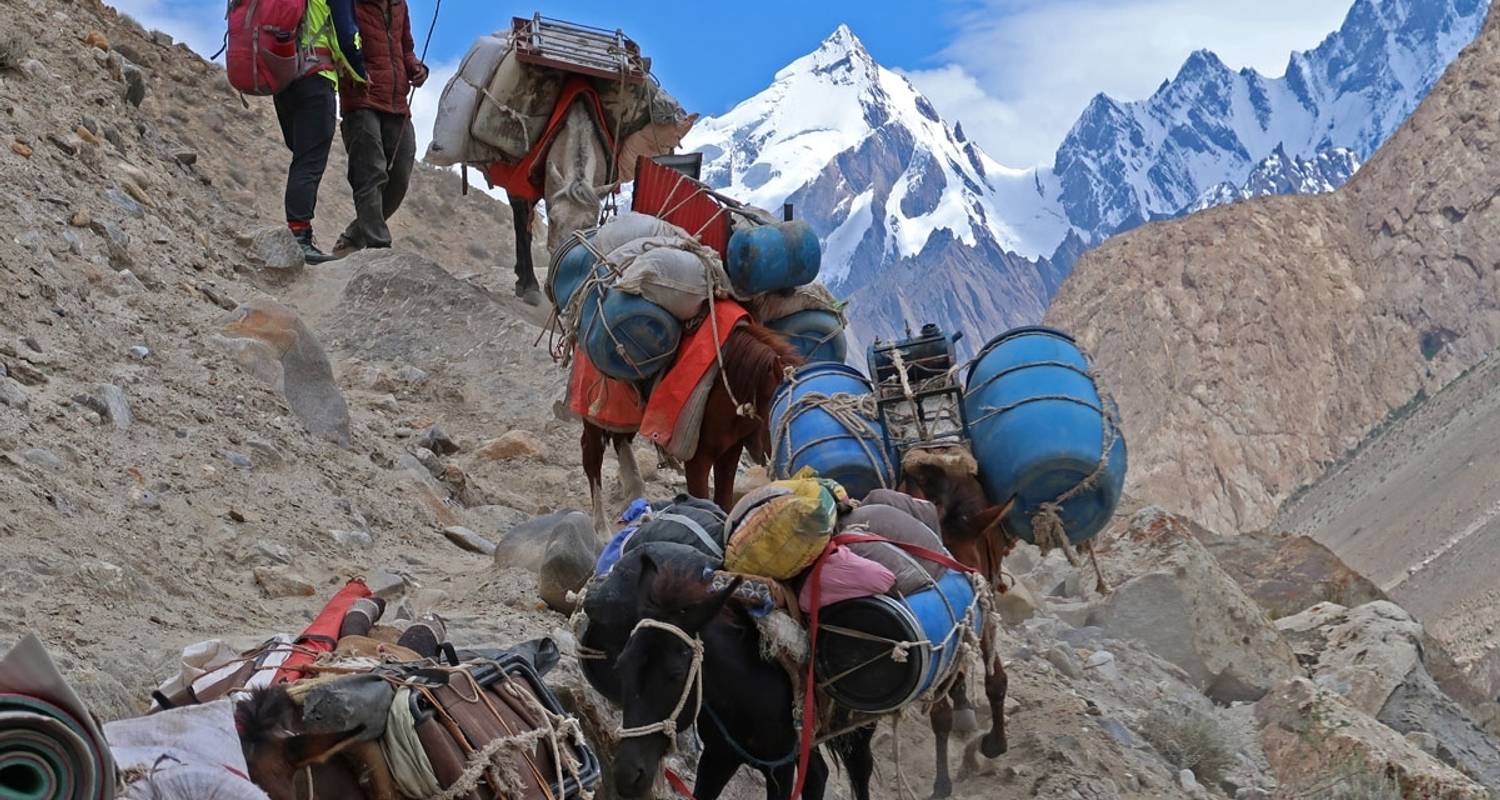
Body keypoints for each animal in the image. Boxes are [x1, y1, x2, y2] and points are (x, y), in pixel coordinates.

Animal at [579, 318, 804, 531]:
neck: (727, 381)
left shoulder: (732, 449)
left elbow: (723, 501)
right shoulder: (698, 456)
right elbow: (702, 500)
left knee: (620, 440)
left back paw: (635, 496)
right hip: (595, 413)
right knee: (592, 456)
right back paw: (602, 530)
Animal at [894, 459, 1014, 792]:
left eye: (972, 575)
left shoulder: (985, 608)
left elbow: (997, 680)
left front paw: (993, 744)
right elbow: (940, 713)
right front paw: (942, 784)